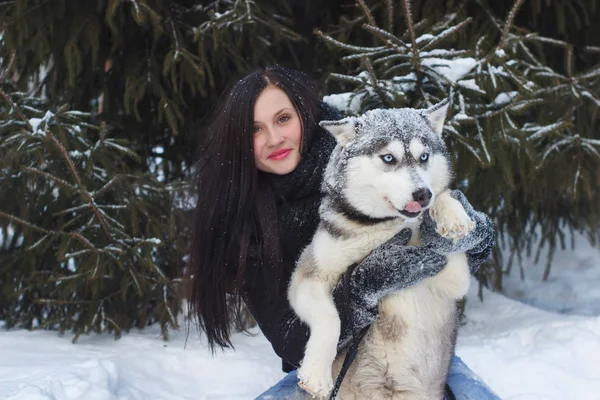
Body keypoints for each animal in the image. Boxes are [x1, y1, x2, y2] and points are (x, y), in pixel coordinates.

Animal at [288, 100, 476, 400]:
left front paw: (451, 214)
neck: (388, 227)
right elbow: (330, 319)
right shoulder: (308, 277)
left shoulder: (454, 280)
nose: (422, 194)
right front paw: (316, 373)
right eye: (388, 158)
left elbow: (445, 199)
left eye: (424, 156)